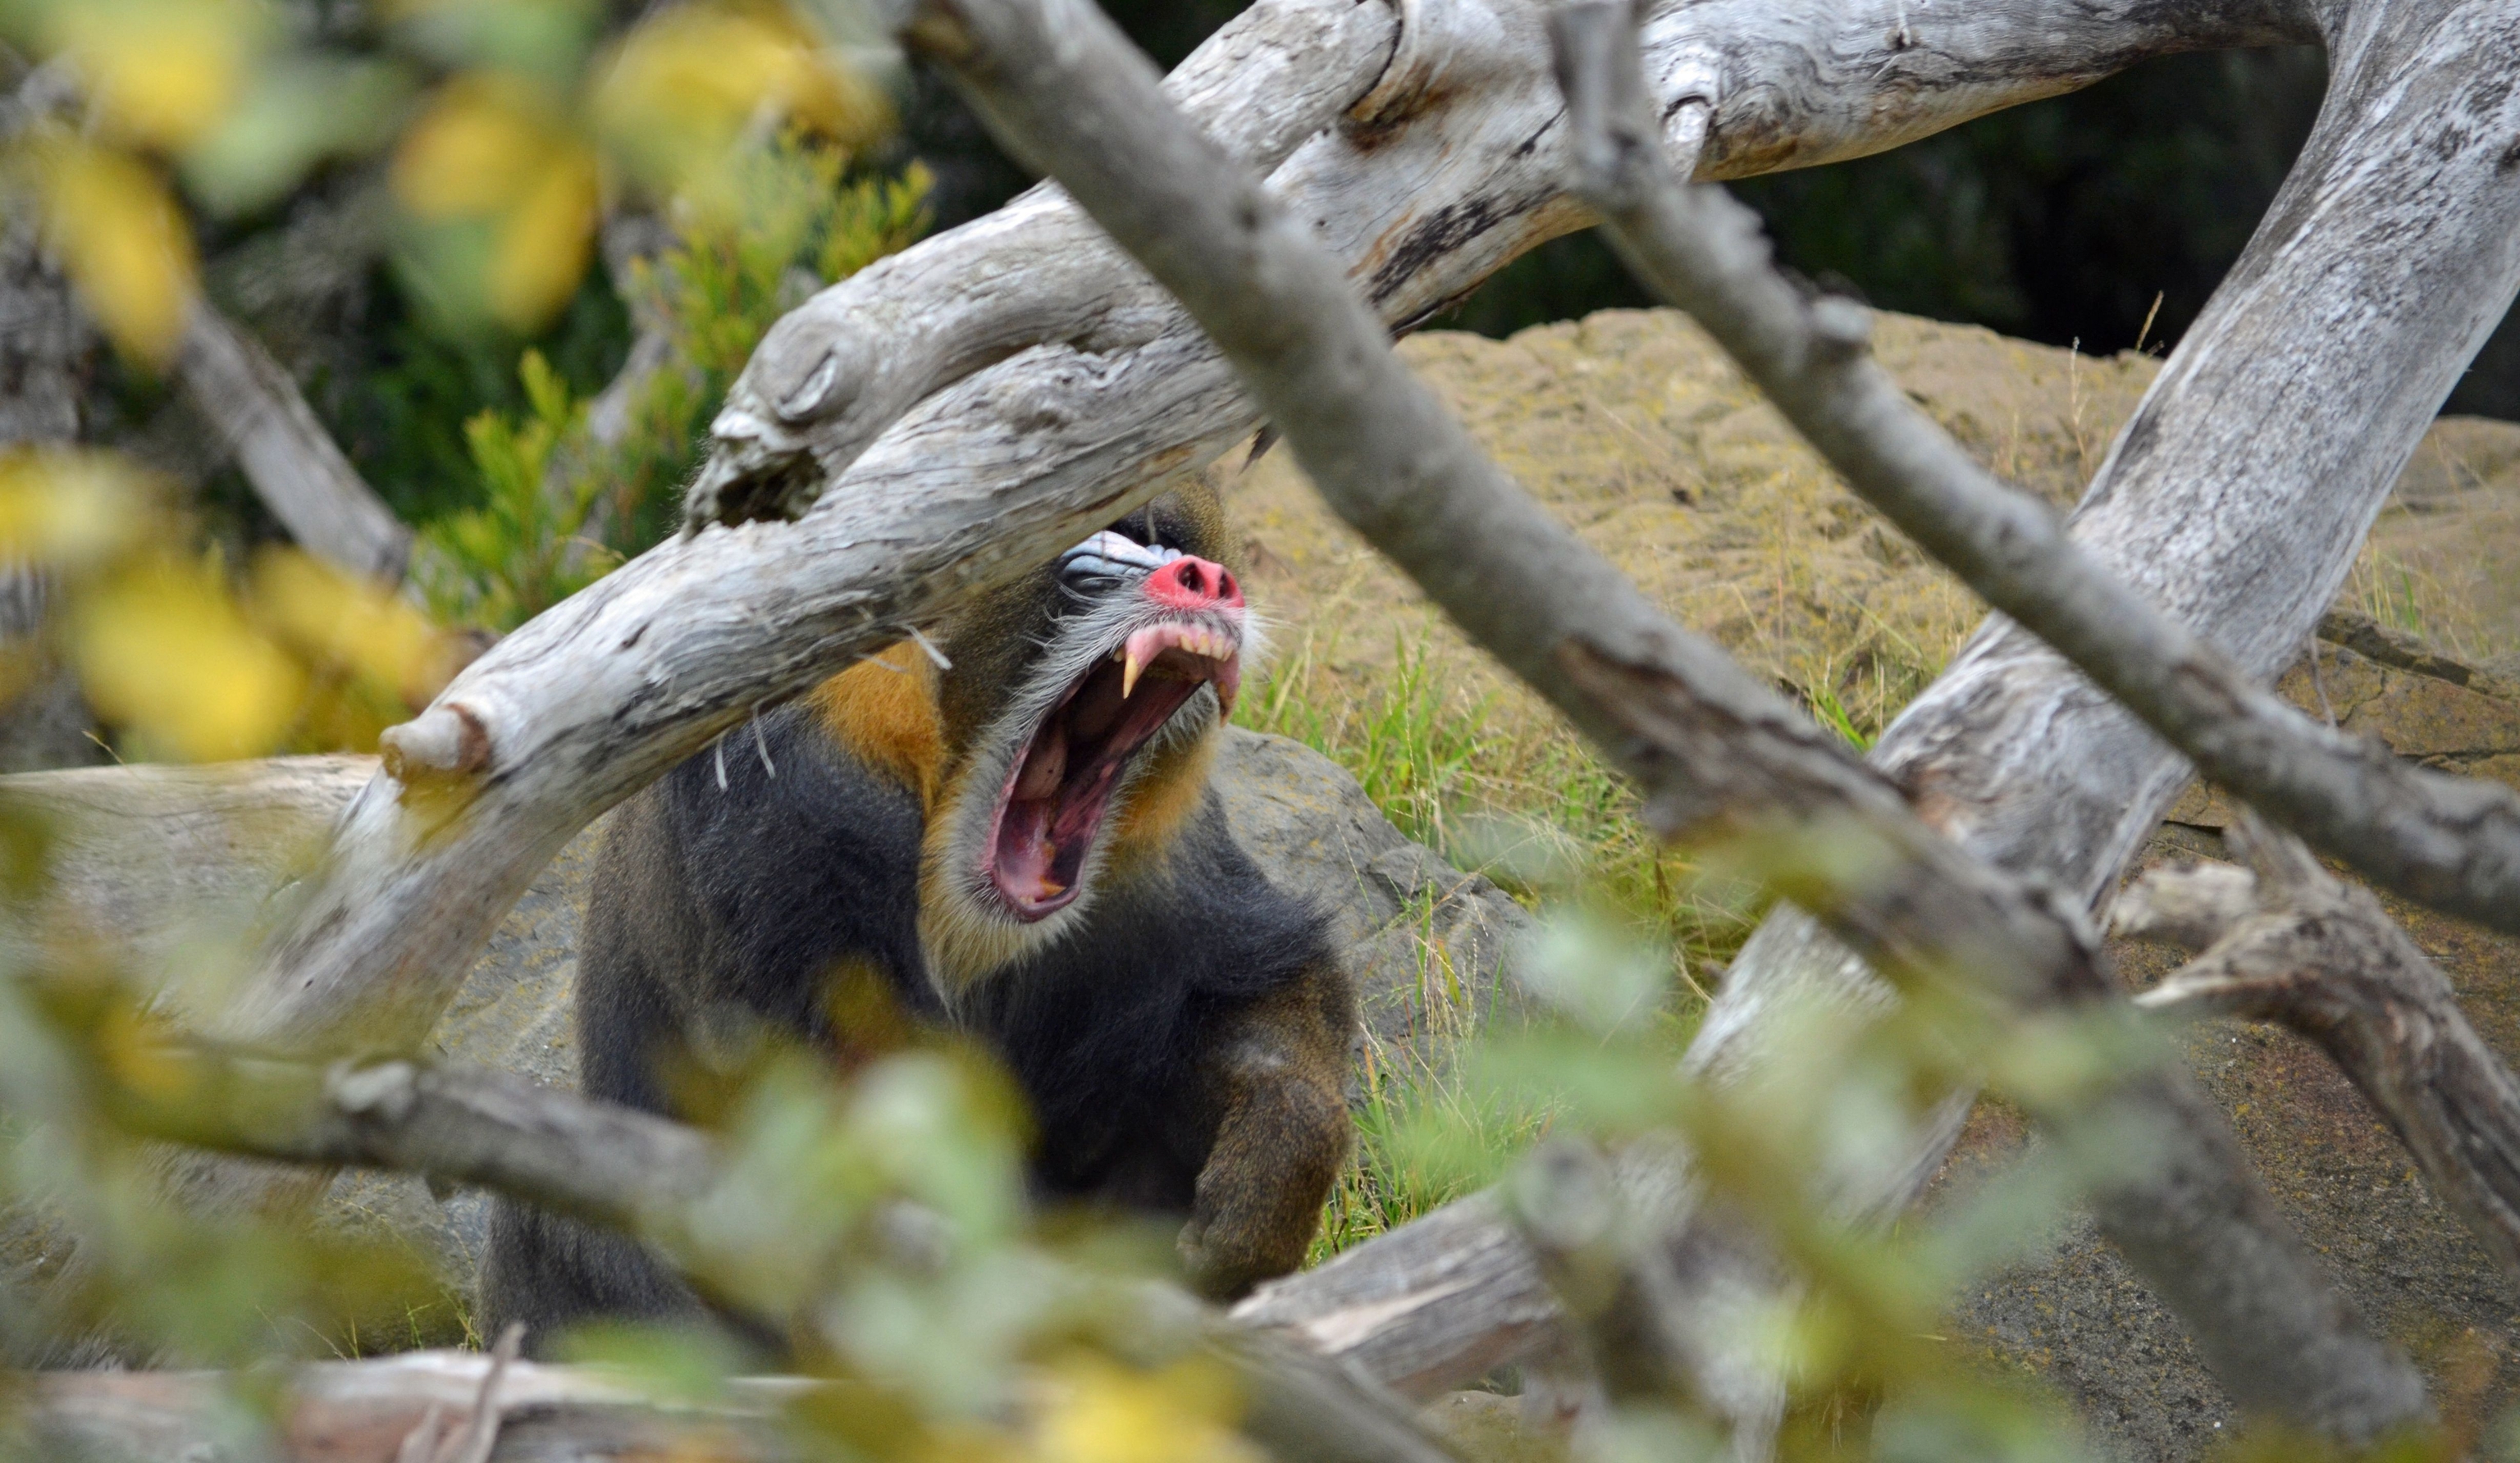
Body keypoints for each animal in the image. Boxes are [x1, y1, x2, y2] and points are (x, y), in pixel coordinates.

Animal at [478, 478, 1356, 1352]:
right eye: (1100, 551)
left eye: (1178, 544)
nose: (1208, 581)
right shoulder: (799, 810)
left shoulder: (1169, 873)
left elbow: (1250, 993)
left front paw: (1268, 1177)